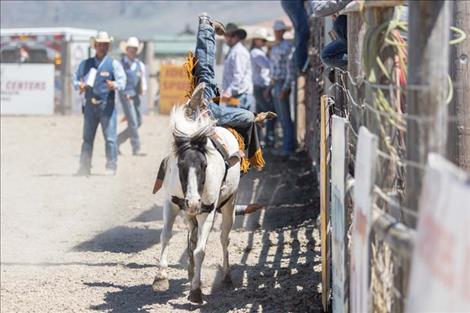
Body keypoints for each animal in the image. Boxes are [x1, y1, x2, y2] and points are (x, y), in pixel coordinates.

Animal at [153, 97, 242, 302]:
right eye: (180, 164)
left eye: (204, 165)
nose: (193, 202)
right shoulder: (171, 204)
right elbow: (165, 235)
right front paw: (161, 278)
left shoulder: (207, 212)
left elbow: (200, 250)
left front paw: (196, 290)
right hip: (188, 213)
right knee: (192, 236)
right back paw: (191, 270)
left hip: (229, 205)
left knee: (224, 239)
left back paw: (226, 277)